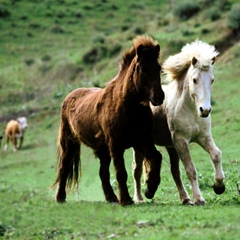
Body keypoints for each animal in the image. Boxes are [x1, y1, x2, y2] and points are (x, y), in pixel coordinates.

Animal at [51, 35, 165, 206]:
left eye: (158, 68)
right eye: (143, 69)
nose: (159, 96)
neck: (126, 106)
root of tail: (70, 96)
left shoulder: (143, 140)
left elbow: (156, 158)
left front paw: (150, 189)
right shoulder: (116, 145)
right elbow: (121, 172)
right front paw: (126, 200)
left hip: (102, 150)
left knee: (102, 173)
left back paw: (111, 198)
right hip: (69, 144)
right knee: (64, 168)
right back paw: (60, 198)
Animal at [133, 40, 225, 205]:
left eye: (212, 80)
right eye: (194, 79)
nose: (205, 110)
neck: (191, 110)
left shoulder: (203, 137)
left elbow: (216, 155)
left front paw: (219, 186)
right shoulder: (181, 141)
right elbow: (190, 170)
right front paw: (199, 199)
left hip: (170, 147)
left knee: (174, 171)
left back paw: (185, 198)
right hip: (140, 145)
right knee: (136, 169)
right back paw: (140, 198)